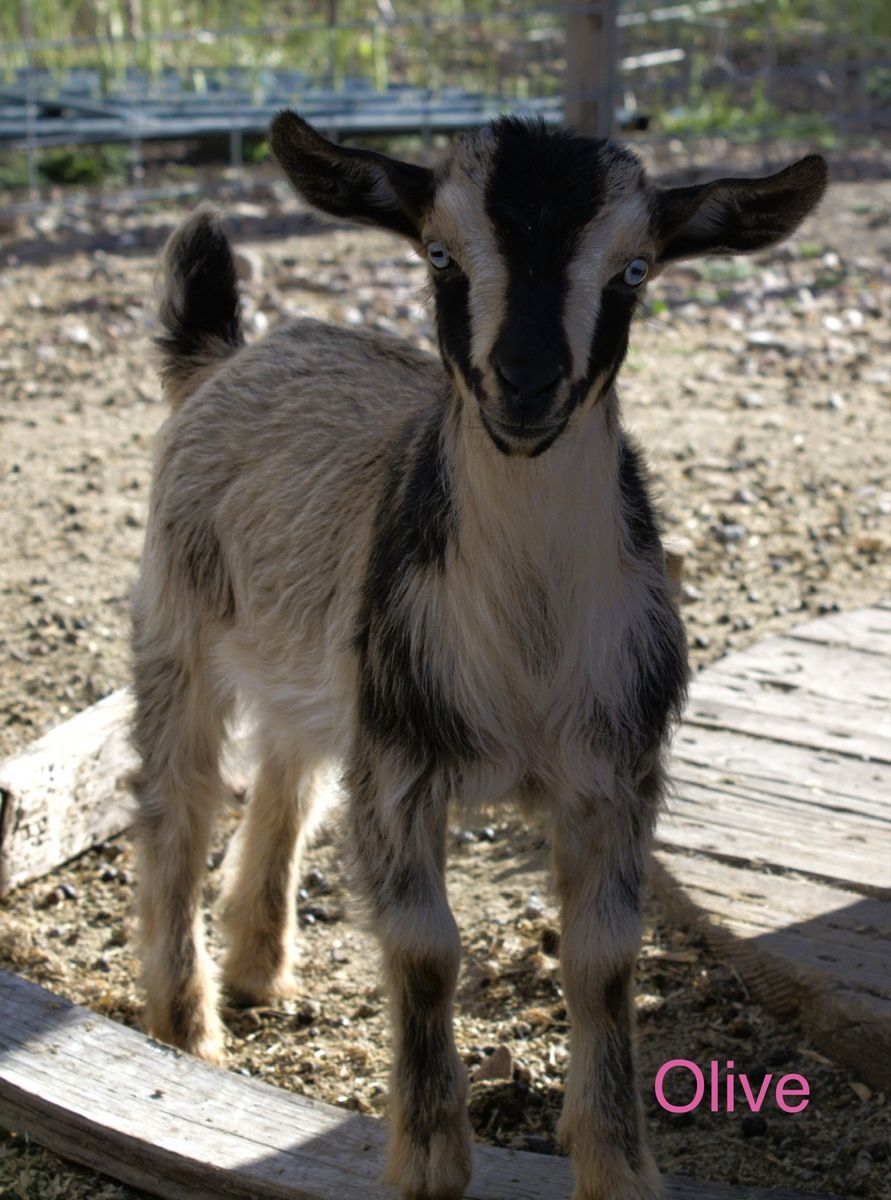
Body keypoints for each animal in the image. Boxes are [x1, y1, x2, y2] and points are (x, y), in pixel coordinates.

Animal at [131, 112, 826, 1200]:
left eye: (634, 270)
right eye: (440, 256)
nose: (527, 383)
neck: (529, 647)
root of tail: (224, 358)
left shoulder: (612, 770)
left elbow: (602, 961)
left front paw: (619, 1167)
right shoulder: (403, 766)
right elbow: (424, 953)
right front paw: (428, 1162)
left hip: (324, 663)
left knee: (287, 774)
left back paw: (258, 965)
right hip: (179, 615)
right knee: (180, 802)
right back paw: (185, 1026)